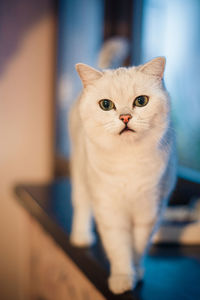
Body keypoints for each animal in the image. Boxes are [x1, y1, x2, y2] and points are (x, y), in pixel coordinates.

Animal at [69, 57, 177, 294]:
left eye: (141, 101)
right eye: (106, 105)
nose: (125, 117)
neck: (128, 160)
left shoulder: (149, 211)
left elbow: (138, 246)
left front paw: (137, 271)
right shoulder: (110, 210)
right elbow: (119, 247)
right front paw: (123, 278)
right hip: (80, 174)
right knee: (82, 204)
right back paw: (82, 237)